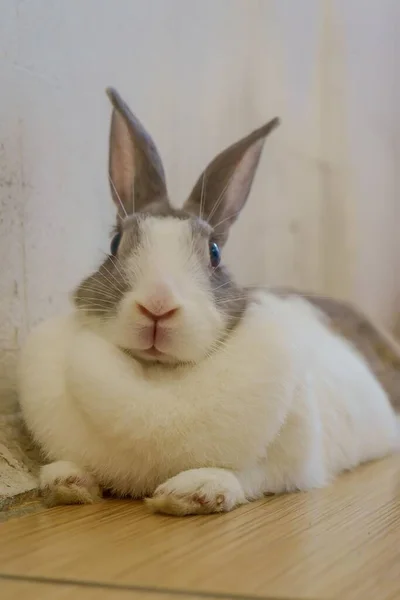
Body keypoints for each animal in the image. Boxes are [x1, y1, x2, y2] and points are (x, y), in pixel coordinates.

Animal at [17, 86, 398, 512]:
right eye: (115, 244)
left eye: (214, 253)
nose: (158, 305)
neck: (158, 377)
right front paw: (64, 481)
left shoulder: (294, 463)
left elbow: (250, 475)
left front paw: (191, 491)